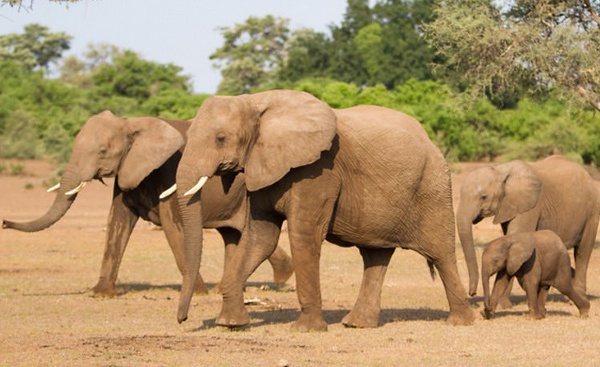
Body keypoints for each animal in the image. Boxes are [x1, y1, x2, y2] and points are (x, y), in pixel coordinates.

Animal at [1, 110, 292, 298]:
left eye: (103, 151)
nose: (4, 222)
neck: (131, 123)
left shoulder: (168, 171)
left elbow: (174, 228)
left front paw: (197, 293)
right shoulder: (128, 170)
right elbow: (117, 222)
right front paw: (101, 294)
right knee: (231, 234)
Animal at [170, 90, 474, 332]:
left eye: (220, 138)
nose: (182, 320)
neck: (257, 101)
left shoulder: (318, 171)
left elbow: (304, 236)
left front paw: (306, 329)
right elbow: (260, 239)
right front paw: (230, 324)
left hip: (433, 187)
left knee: (441, 253)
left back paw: (460, 322)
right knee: (375, 256)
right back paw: (357, 324)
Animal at [458, 155, 596, 300]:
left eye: (483, 197)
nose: (472, 293)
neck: (500, 170)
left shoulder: (531, 206)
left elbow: (517, 235)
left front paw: (502, 302)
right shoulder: (508, 206)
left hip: (592, 211)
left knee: (583, 252)